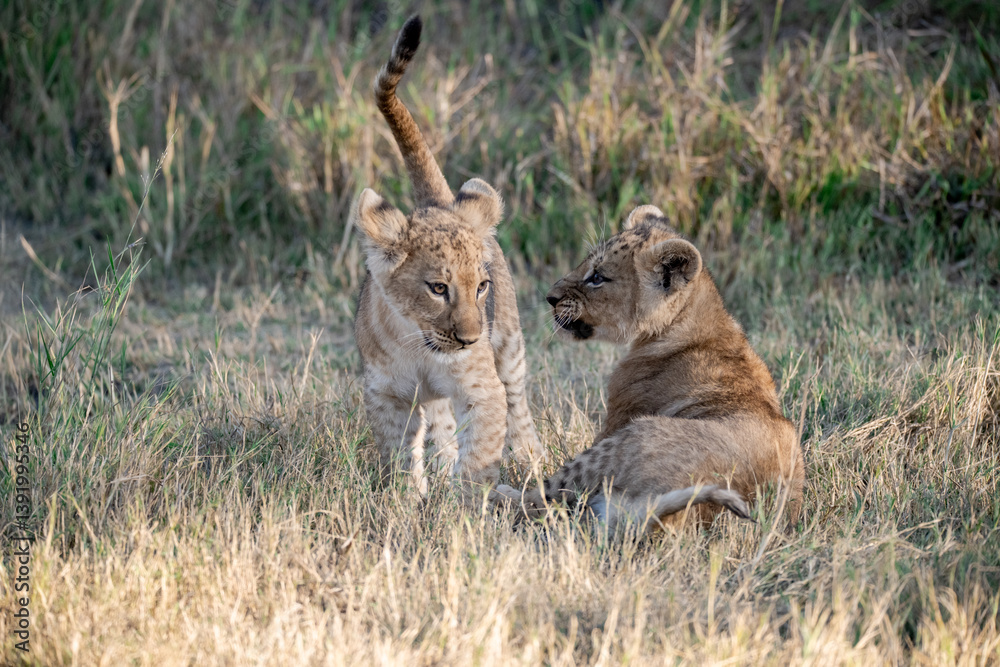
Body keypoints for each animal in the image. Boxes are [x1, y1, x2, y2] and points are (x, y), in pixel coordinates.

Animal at [353, 15, 544, 496]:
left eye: (481, 287)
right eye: (438, 288)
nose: (471, 340)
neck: (419, 344)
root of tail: (439, 202)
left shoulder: (481, 387)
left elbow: (481, 454)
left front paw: (468, 504)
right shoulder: (387, 395)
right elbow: (400, 457)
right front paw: (407, 501)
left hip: (510, 350)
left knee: (519, 411)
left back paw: (533, 463)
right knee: (439, 426)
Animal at [494, 205, 805, 530]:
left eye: (597, 277)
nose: (550, 298)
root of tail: (671, 517)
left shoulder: (617, 419)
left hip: (628, 437)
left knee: (543, 499)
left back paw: (496, 494)